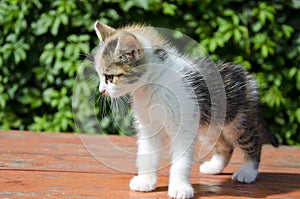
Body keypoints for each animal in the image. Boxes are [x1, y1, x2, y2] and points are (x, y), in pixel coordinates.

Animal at [92, 21, 278, 198]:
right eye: (100, 76)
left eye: (110, 77)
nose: (101, 90)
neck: (152, 84)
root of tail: (245, 76)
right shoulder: (148, 127)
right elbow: (146, 153)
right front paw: (145, 181)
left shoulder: (184, 127)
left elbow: (182, 161)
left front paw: (180, 188)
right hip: (211, 124)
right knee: (225, 145)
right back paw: (214, 166)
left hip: (236, 120)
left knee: (253, 141)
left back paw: (248, 171)